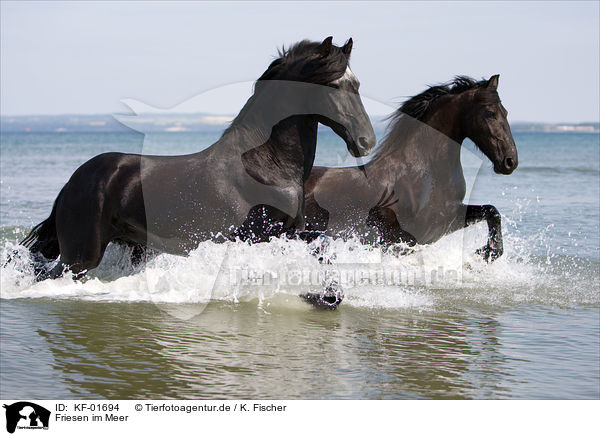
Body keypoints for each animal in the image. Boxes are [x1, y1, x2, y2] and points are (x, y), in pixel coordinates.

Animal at [21, 36, 376, 286]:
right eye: (334, 86)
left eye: (357, 85)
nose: (366, 142)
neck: (265, 165)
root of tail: (73, 181)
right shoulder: (259, 235)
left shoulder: (290, 231)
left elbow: (322, 248)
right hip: (80, 256)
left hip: (129, 247)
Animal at [308, 75, 516, 260]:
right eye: (490, 113)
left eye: (506, 112)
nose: (510, 161)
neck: (425, 172)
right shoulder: (408, 237)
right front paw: (487, 252)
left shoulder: (449, 216)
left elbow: (491, 211)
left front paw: (487, 253)